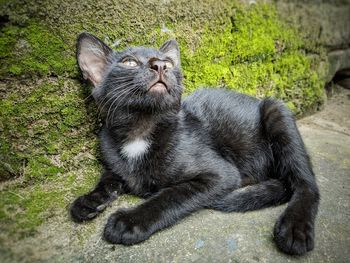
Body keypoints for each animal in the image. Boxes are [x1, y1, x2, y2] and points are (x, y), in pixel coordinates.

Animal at [71, 32, 320, 256]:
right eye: (129, 62)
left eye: (169, 63)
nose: (160, 65)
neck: (140, 131)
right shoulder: (113, 162)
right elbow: (108, 178)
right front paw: (89, 200)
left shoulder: (221, 174)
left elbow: (170, 195)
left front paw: (130, 220)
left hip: (277, 111)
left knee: (306, 183)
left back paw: (295, 228)